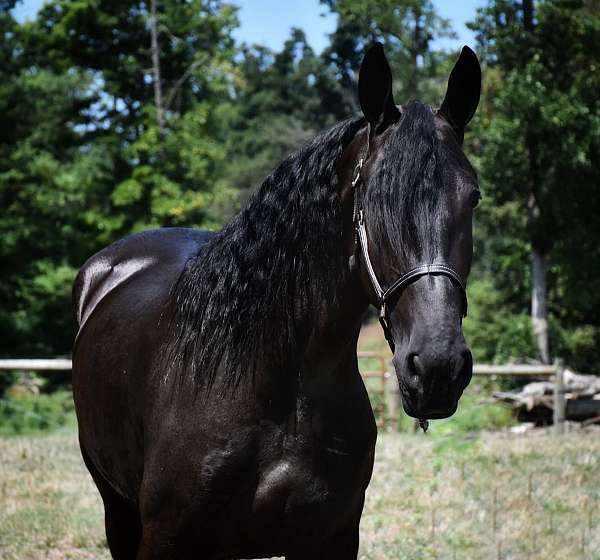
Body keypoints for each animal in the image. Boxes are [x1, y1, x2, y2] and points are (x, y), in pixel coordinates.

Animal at [71, 44, 482, 560]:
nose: (437, 368)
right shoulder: (163, 539)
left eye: (473, 197)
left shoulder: (332, 538)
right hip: (116, 508)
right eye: (373, 197)